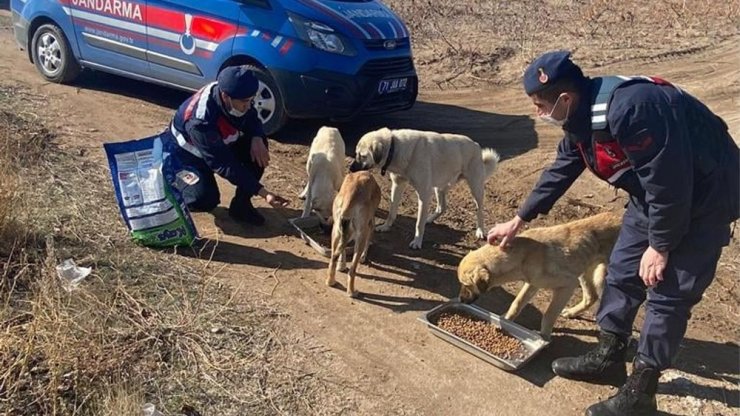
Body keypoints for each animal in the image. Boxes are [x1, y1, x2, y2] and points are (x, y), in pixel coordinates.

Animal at [350, 127, 500, 249]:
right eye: (356, 154)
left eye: (362, 156)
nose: (351, 169)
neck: (395, 146)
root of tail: (475, 144)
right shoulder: (398, 185)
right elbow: (392, 211)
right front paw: (386, 226)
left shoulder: (423, 194)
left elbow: (418, 224)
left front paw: (417, 242)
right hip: (439, 187)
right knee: (442, 207)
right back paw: (429, 218)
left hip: (475, 188)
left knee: (479, 210)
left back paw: (480, 230)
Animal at [456, 213, 624, 340]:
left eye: (467, 285)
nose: (460, 300)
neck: (523, 256)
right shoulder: (533, 283)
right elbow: (516, 304)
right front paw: (505, 320)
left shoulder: (567, 286)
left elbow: (549, 315)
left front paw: (543, 337)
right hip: (584, 269)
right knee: (591, 297)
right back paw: (572, 312)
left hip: (601, 277)